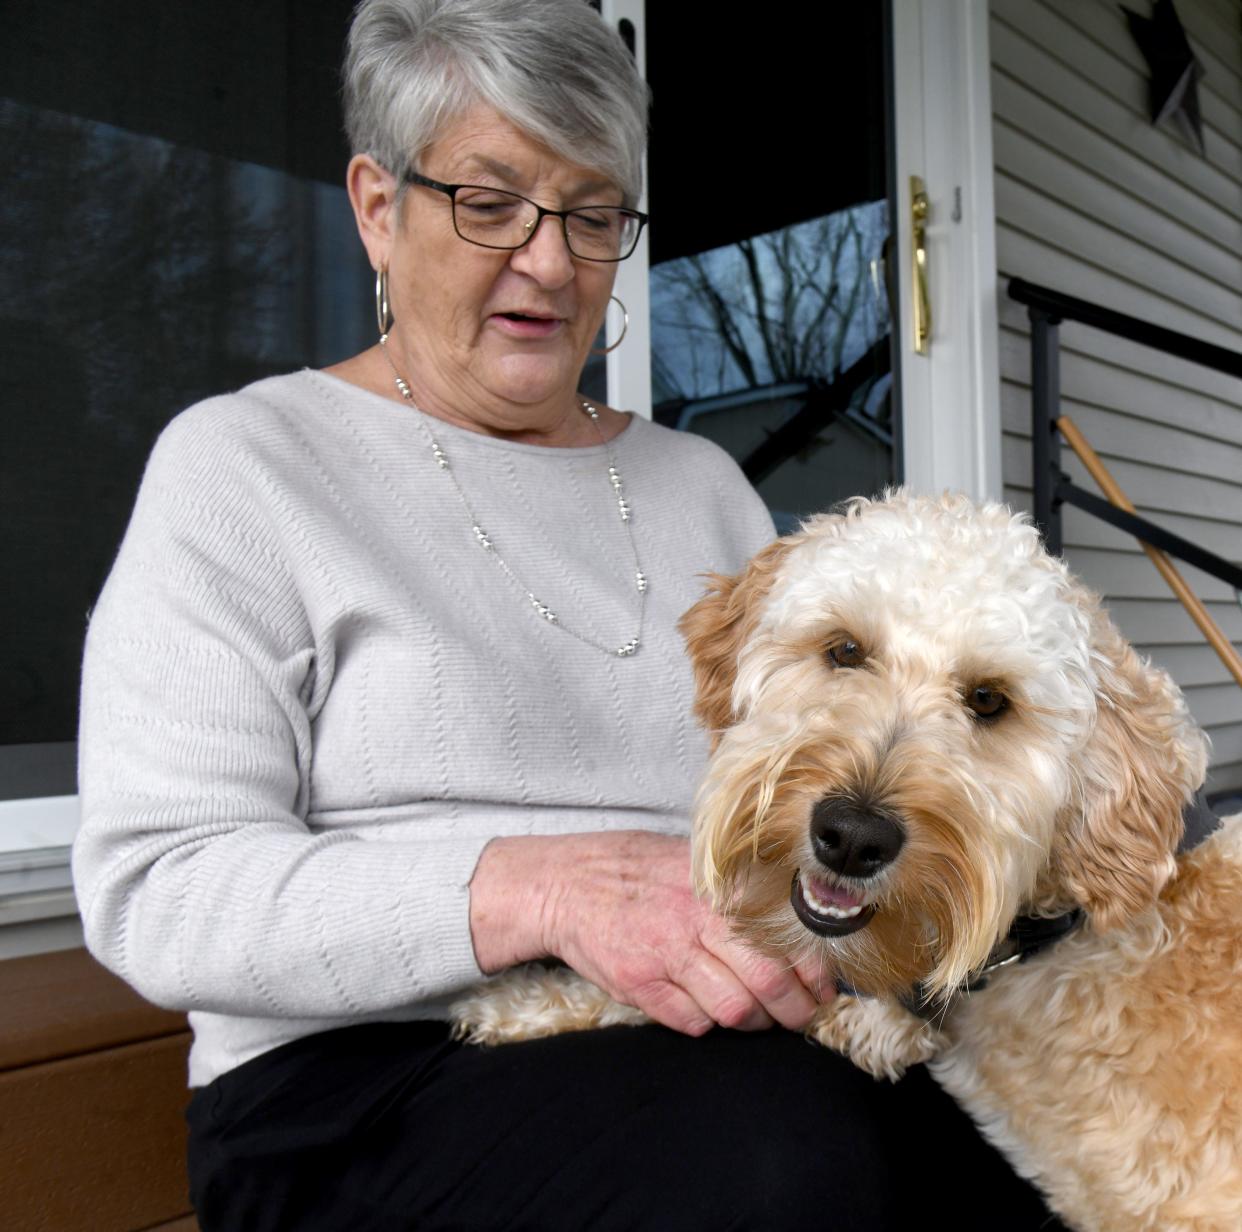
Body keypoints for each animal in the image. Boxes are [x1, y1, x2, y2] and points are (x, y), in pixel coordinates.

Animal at [454, 491, 1242, 1232]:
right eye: (845, 650)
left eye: (990, 701)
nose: (853, 837)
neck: (1043, 919)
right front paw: (522, 1001)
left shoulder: (872, 1021)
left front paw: (521, 999)